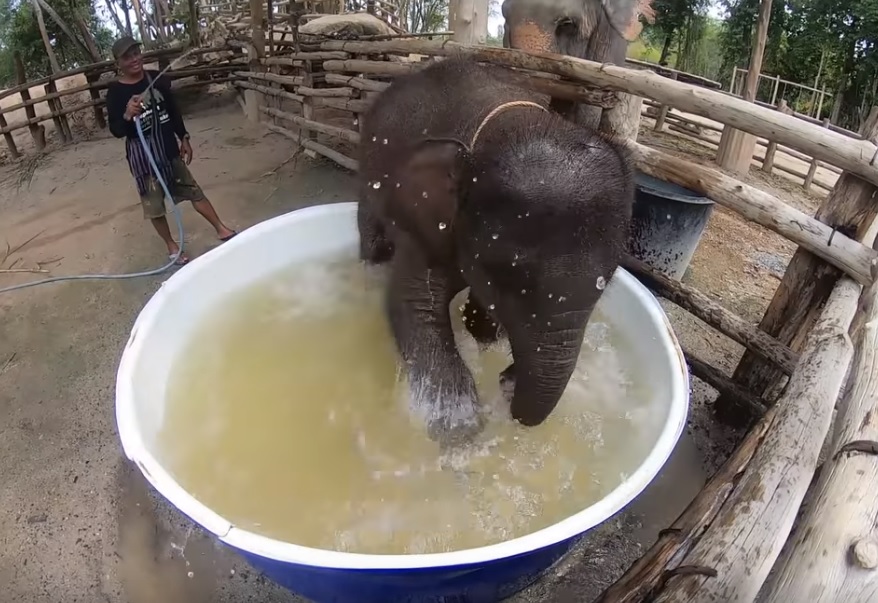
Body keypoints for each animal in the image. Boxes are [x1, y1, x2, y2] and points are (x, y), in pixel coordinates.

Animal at [360, 56, 636, 446]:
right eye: (507, 272)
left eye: (606, 280)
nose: (507, 379)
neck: (512, 121)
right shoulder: (429, 222)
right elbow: (414, 302)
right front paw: (459, 430)